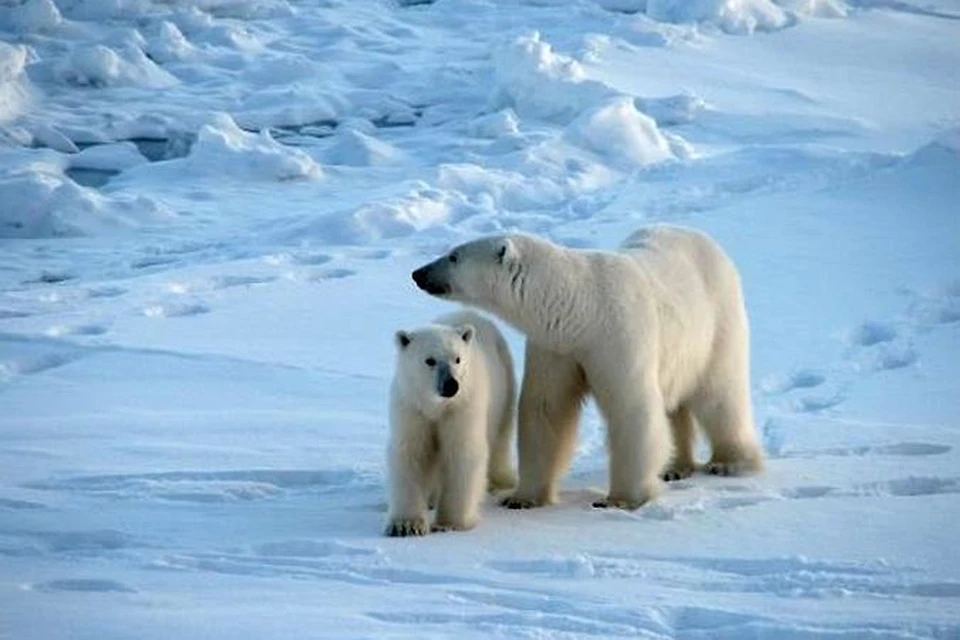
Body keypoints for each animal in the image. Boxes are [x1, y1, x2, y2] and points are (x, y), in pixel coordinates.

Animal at [412, 225, 764, 510]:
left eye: (454, 256)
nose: (418, 273)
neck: (583, 308)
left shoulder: (617, 337)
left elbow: (630, 407)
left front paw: (621, 498)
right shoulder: (557, 345)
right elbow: (545, 408)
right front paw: (521, 497)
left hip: (717, 319)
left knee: (719, 392)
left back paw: (729, 462)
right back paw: (675, 466)